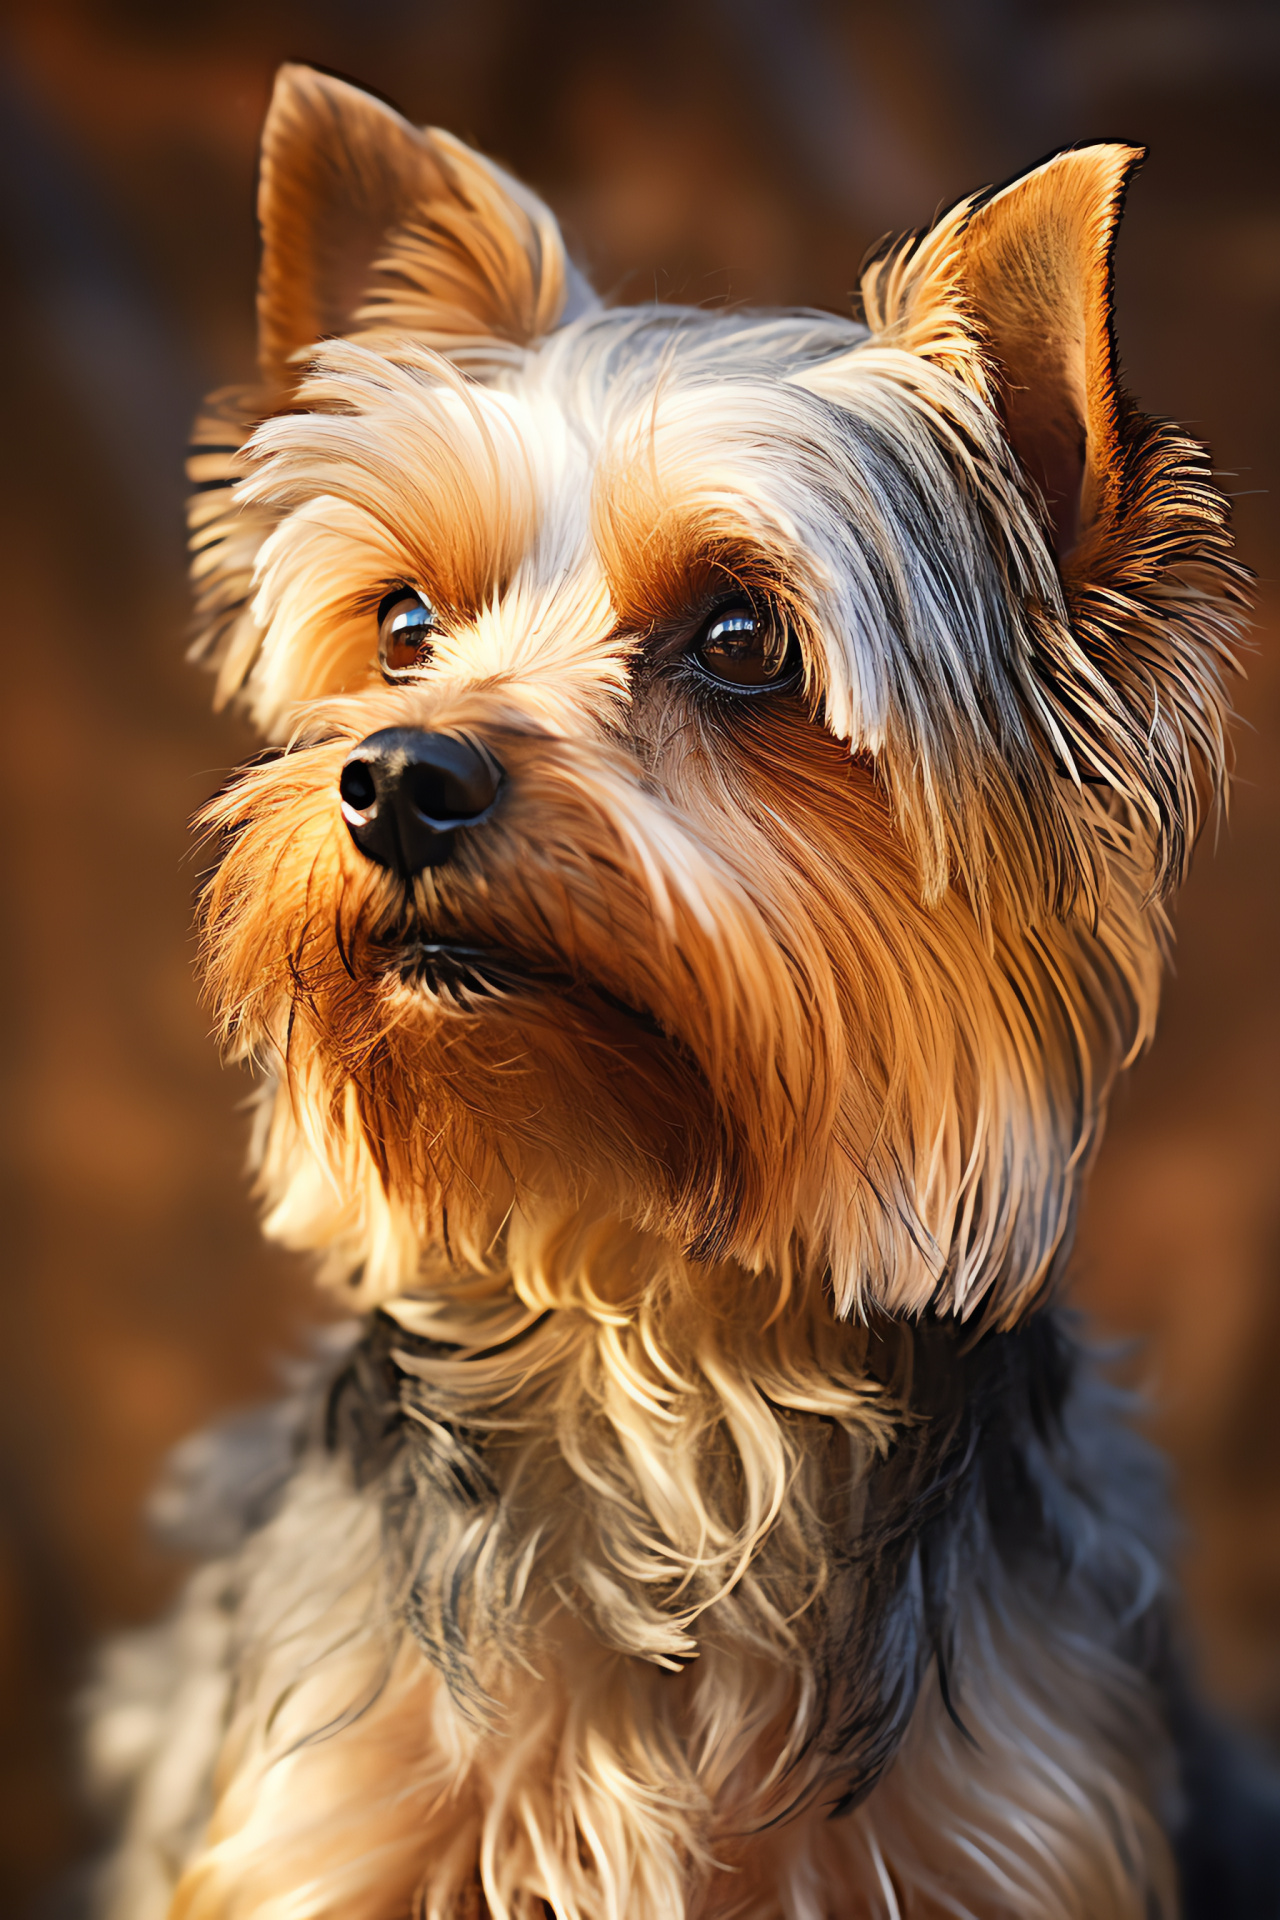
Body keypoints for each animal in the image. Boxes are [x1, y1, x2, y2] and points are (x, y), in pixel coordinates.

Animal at [84, 60, 1274, 1920]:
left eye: (741, 643)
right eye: (404, 623)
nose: (399, 778)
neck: (653, 1322)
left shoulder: (1031, 1827)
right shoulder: (316, 1820)